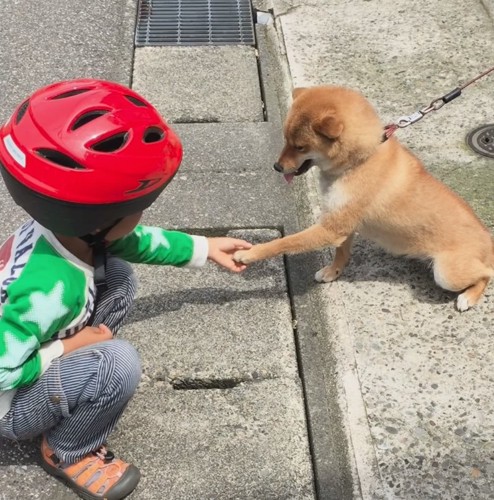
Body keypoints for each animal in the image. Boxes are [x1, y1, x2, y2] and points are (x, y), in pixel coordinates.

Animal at [233, 87, 492, 312]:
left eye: (300, 147)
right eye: (285, 139)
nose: (277, 167)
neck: (358, 161)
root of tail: (488, 240)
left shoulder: (331, 228)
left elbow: (284, 243)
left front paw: (250, 253)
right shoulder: (342, 223)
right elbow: (341, 253)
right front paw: (333, 272)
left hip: (447, 273)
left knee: (486, 274)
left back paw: (469, 297)